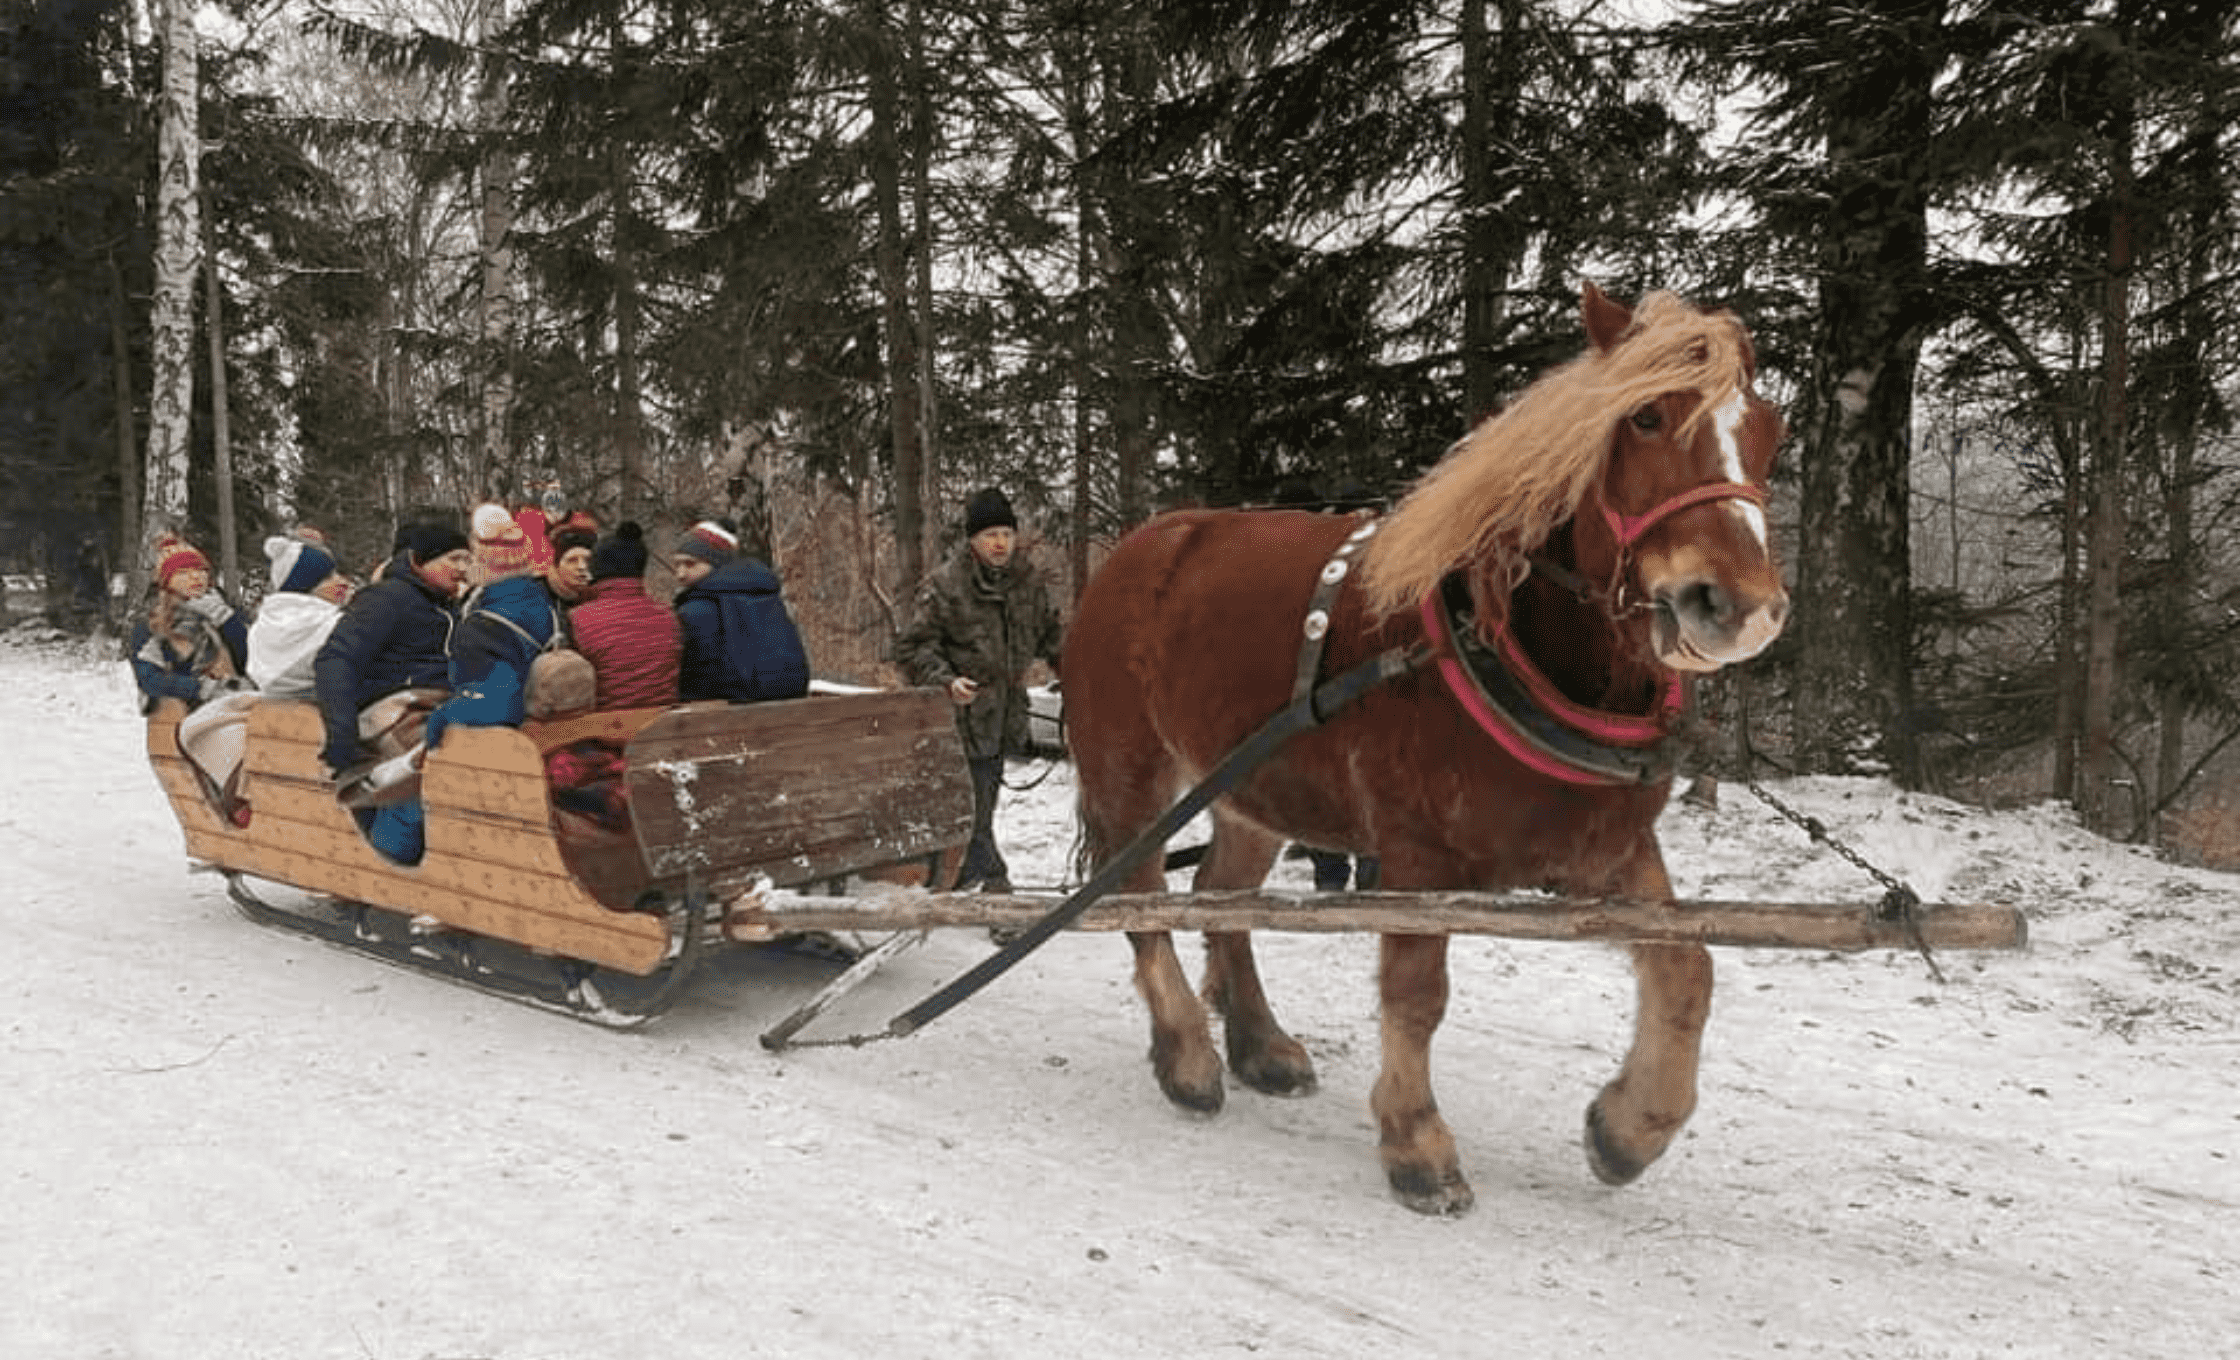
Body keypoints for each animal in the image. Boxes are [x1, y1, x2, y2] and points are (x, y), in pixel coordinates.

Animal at [1061, 284, 1783, 1209]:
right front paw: (1415, 1143)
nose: (1739, 606)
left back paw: (1260, 1045)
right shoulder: (1415, 854)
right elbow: (1415, 995)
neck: (1505, 642)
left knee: (1222, 898)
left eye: (1768, 431)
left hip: (1255, 787)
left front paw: (1629, 1131)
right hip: (1131, 775)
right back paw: (1187, 1055)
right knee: (1143, 902)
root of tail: (1135, 550)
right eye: (1647, 417)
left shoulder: (1607, 847)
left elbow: (1688, 968)